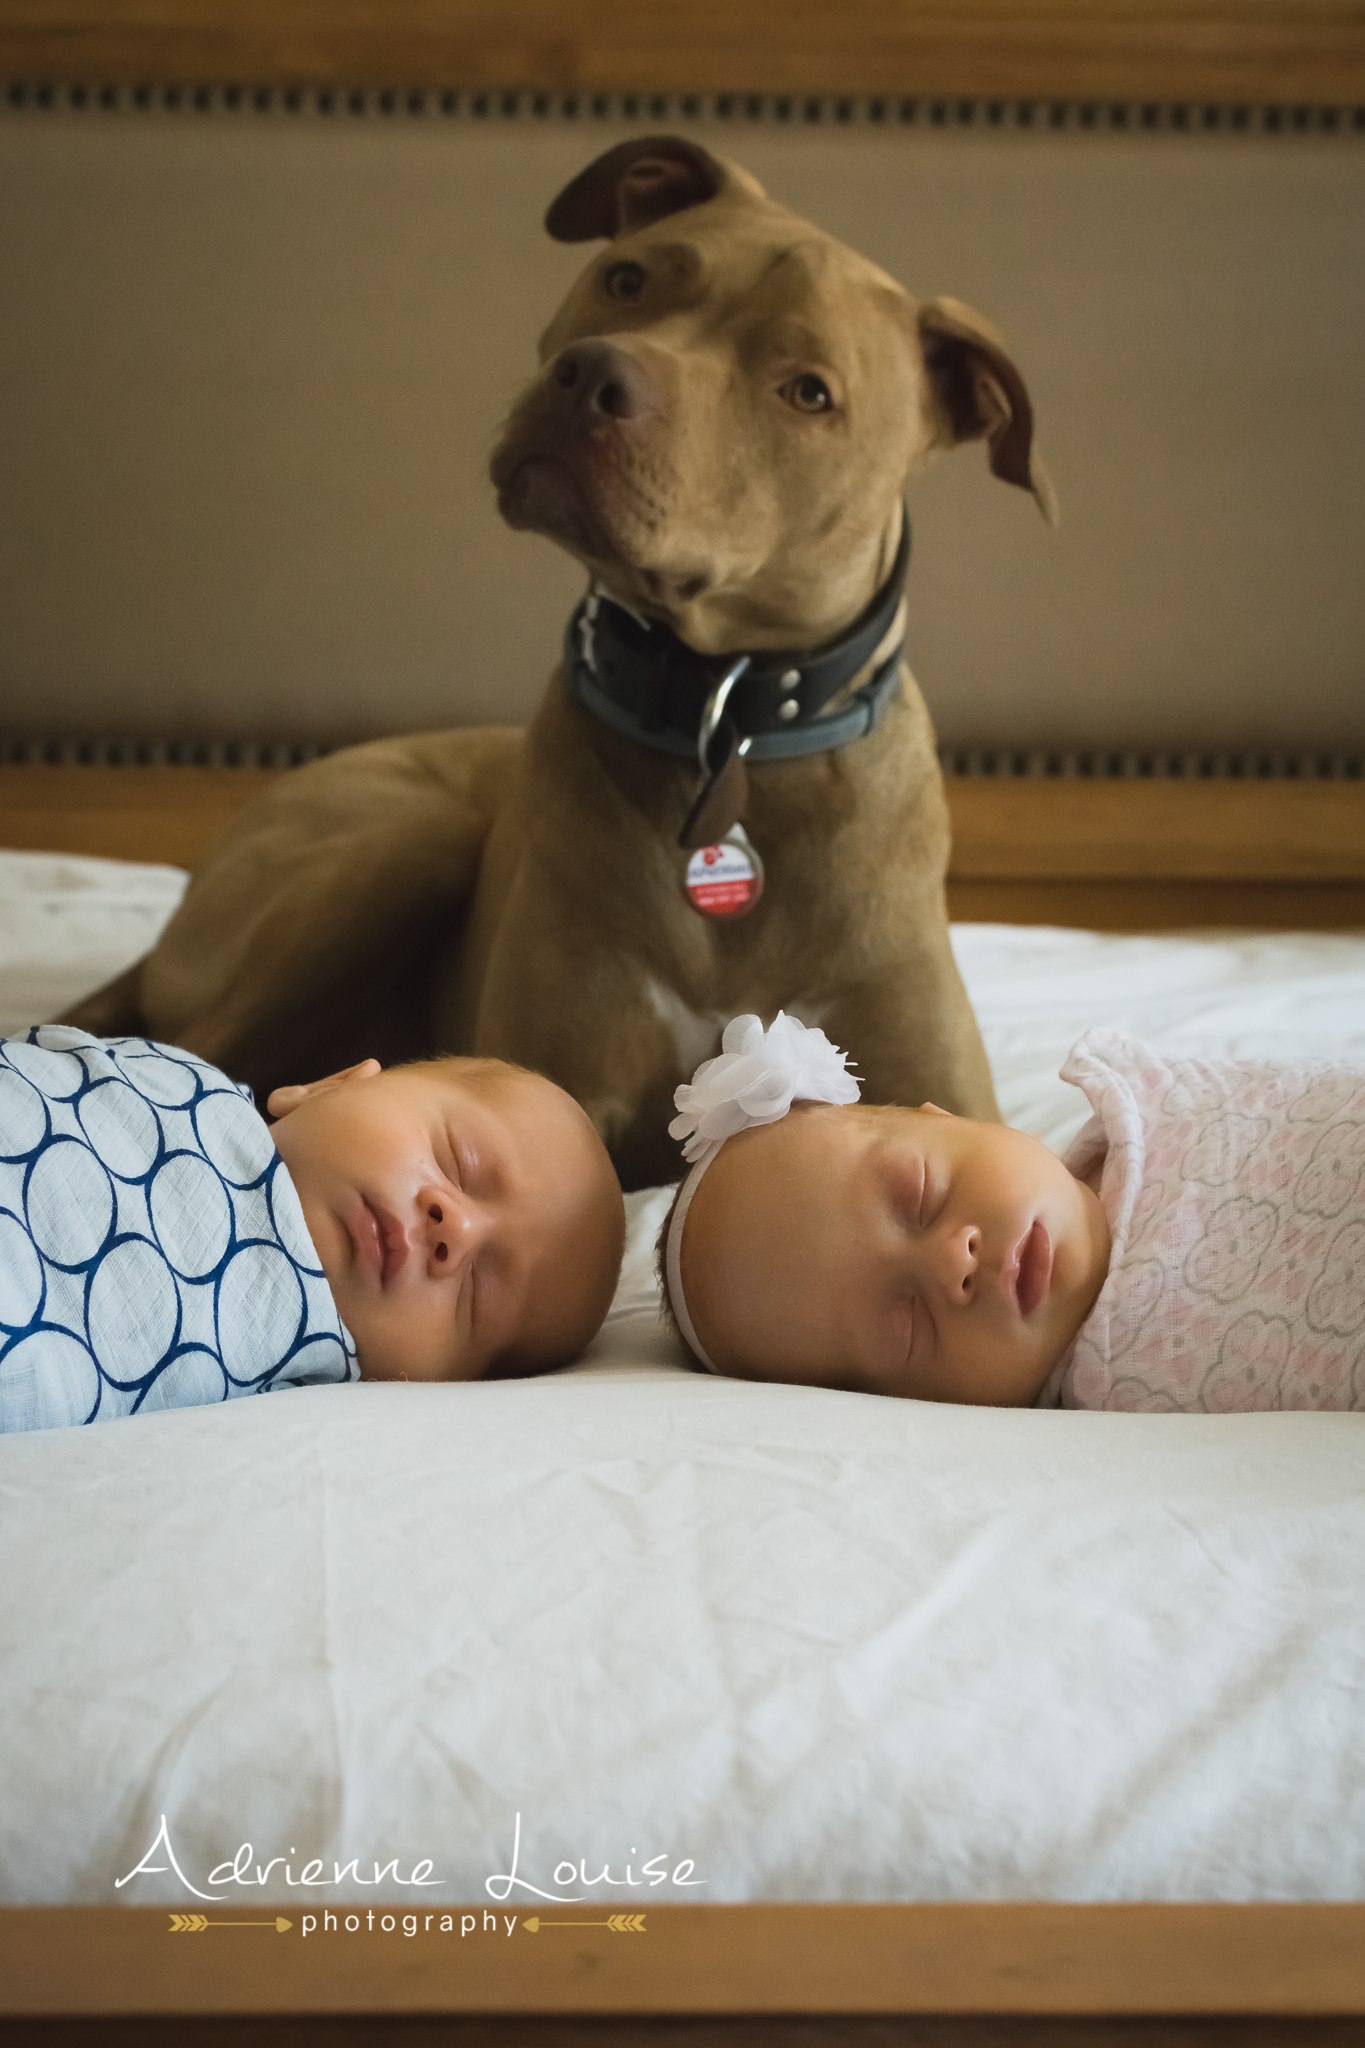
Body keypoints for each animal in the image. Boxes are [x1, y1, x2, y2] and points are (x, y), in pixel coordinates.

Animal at [66, 136, 1055, 1196]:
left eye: (807, 391)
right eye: (628, 279)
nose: (592, 377)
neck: (725, 720)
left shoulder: (950, 1094)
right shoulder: (559, 1088)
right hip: (396, 842)